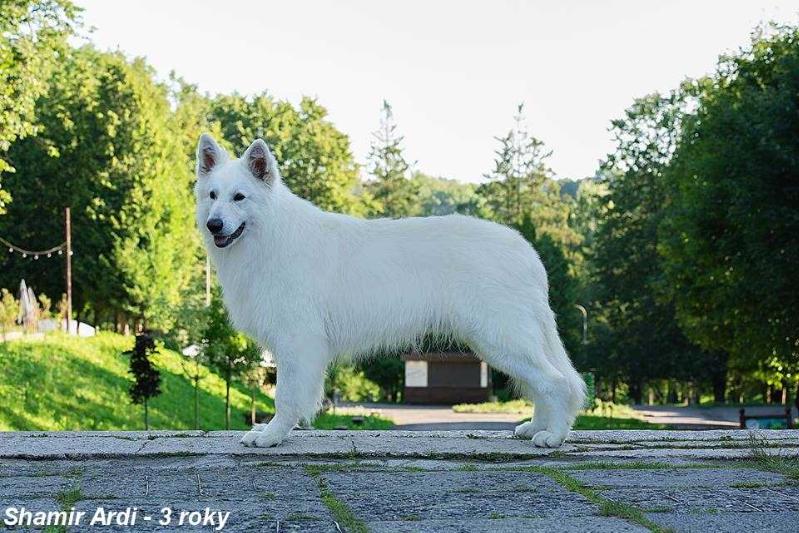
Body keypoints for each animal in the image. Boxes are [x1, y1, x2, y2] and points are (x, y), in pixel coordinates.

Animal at [195, 133, 588, 444]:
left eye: (239, 197)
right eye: (212, 195)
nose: (214, 225)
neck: (270, 234)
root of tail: (525, 251)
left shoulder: (298, 341)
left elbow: (286, 397)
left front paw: (273, 435)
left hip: (500, 338)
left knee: (555, 383)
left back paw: (553, 437)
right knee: (544, 383)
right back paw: (535, 428)